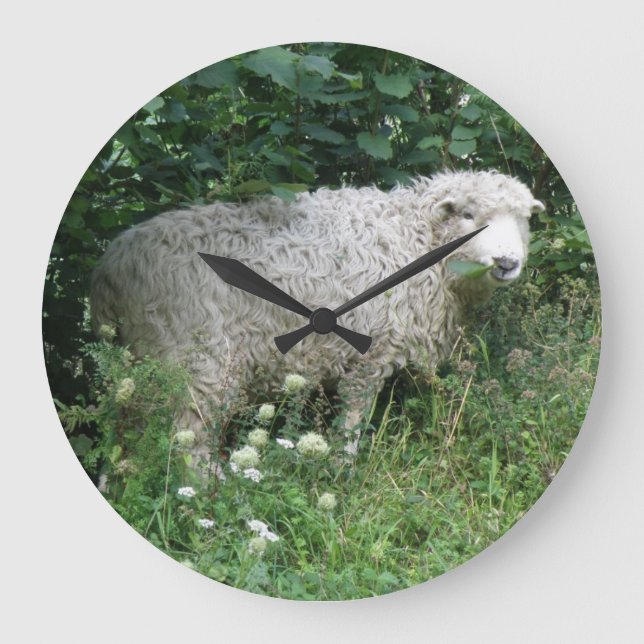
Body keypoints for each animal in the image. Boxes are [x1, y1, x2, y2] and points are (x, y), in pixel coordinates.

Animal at [91, 169, 544, 459]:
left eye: (523, 220)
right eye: (468, 215)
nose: (507, 262)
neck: (415, 240)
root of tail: (111, 268)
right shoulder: (370, 354)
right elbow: (352, 424)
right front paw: (343, 474)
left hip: (134, 364)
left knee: (120, 434)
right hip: (197, 360)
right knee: (188, 440)